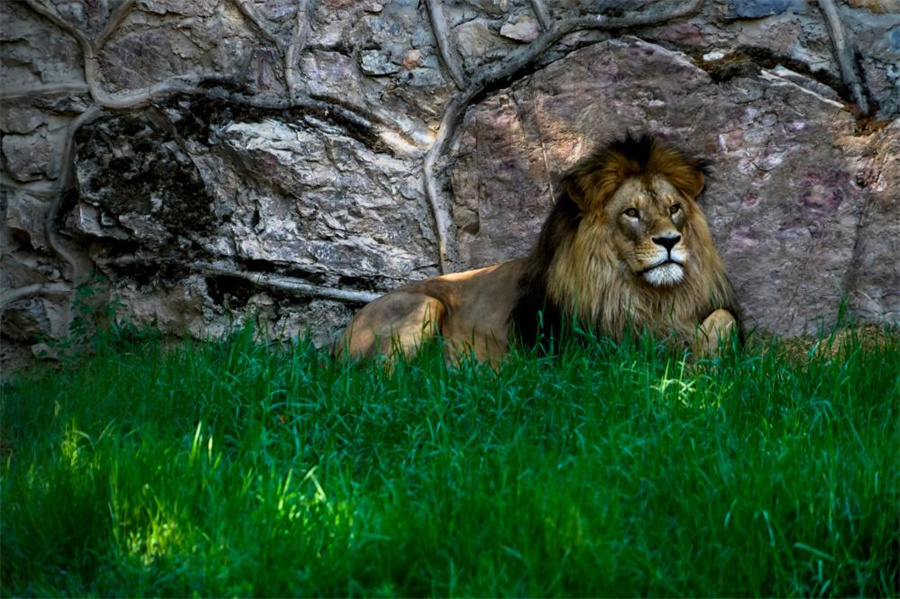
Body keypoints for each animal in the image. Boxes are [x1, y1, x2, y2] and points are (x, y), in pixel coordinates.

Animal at [338, 133, 740, 364]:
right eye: (631, 212)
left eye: (674, 208)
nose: (670, 240)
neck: (644, 294)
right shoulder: (591, 350)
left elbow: (724, 319)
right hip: (424, 305)